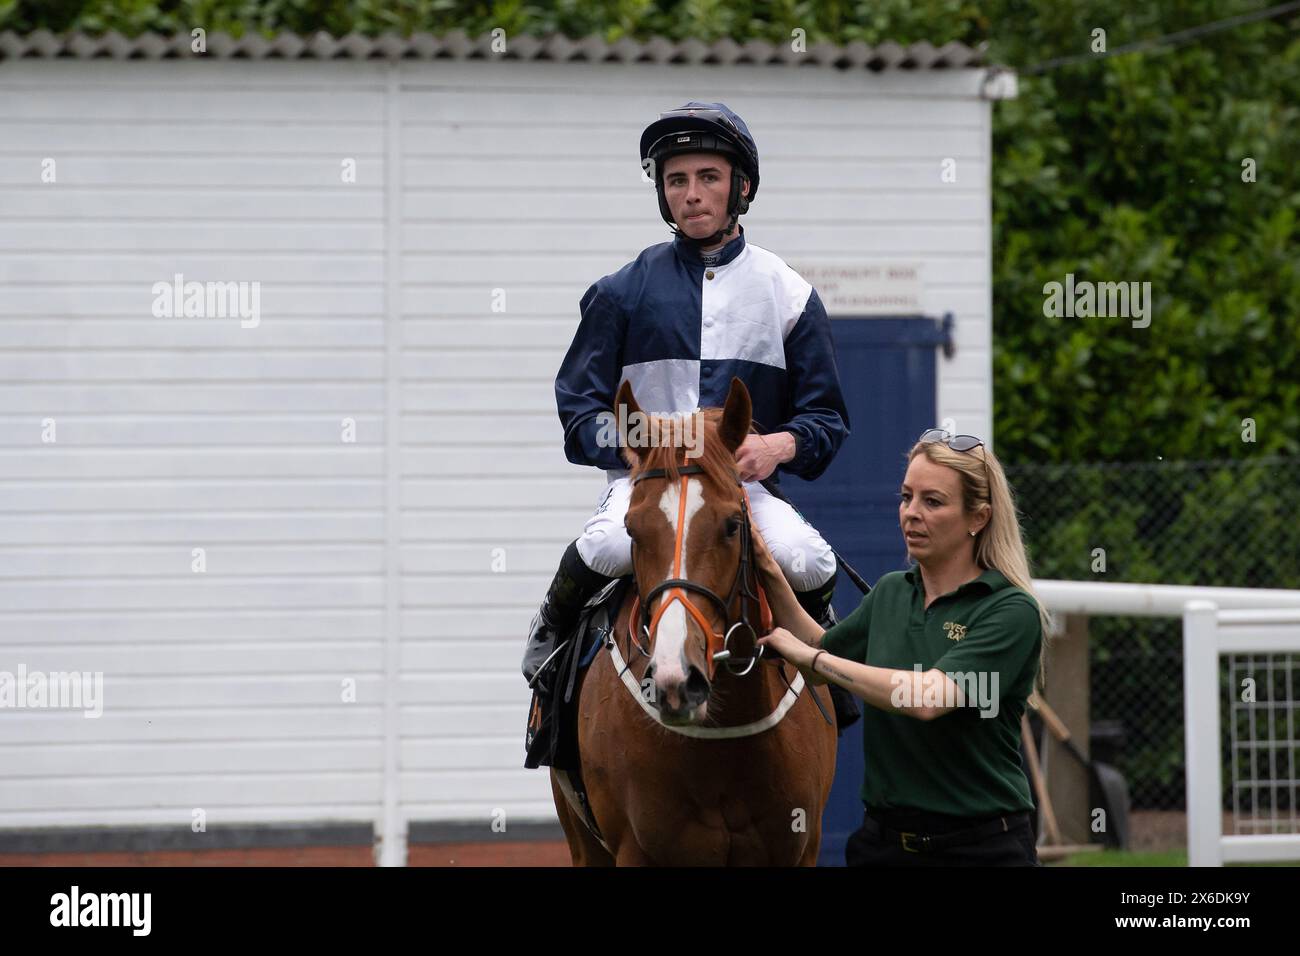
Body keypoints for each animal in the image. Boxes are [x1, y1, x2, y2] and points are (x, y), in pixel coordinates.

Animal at [546, 379, 832, 868]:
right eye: (632, 529)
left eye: (733, 525)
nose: (676, 679)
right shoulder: (635, 850)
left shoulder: (802, 848)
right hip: (582, 838)